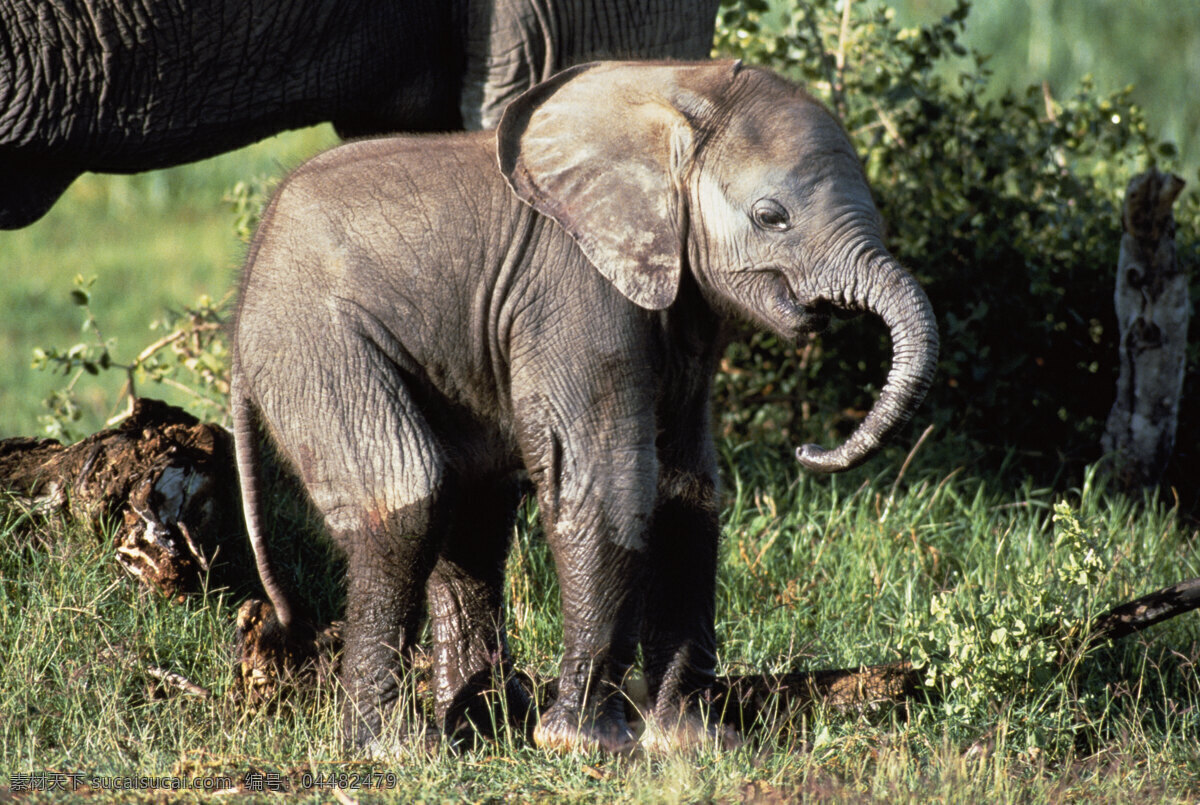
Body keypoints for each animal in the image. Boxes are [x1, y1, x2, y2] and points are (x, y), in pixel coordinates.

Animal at [226, 58, 936, 758]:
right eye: (771, 216)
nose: (808, 450)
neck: (677, 93)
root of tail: (246, 284)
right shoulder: (575, 289)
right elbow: (608, 482)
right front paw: (586, 746)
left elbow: (687, 492)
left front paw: (693, 743)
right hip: (313, 342)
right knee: (410, 492)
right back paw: (395, 748)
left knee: (475, 512)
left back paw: (484, 726)